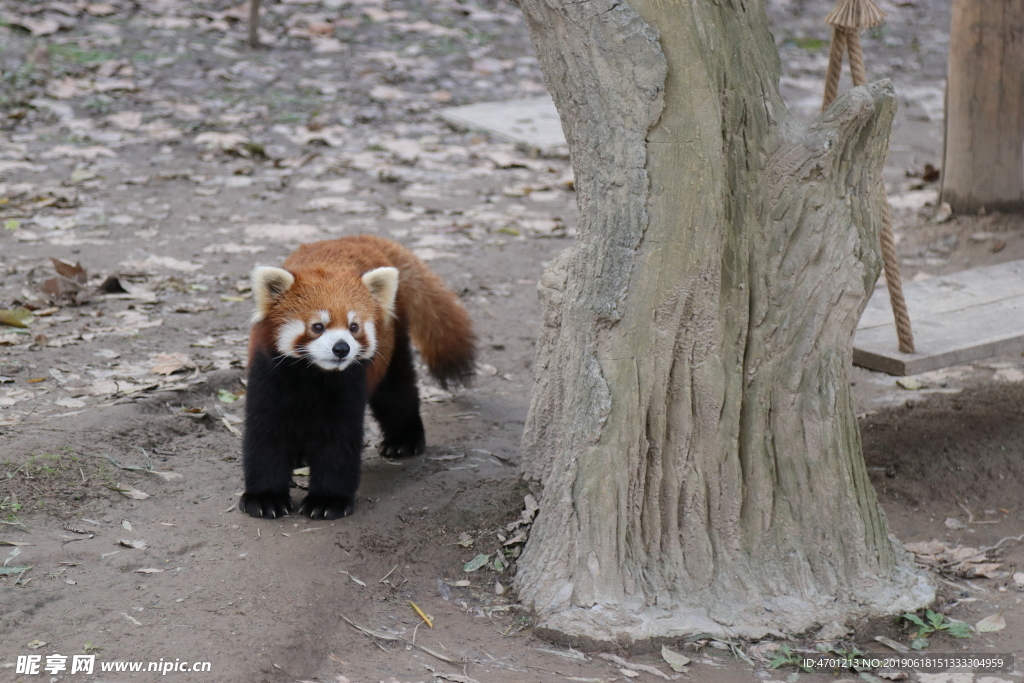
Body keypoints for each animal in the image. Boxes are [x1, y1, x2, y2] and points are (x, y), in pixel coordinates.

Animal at [239, 235, 475, 518]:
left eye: (354, 327)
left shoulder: (350, 382)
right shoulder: (268, 373)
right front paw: (265, 497)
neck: (313, 375)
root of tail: (356, 239)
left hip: (393, 346)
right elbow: (265, 433)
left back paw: (404, 441)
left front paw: (328, 500)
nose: (342, 348)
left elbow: (339, 439)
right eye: (317, 326)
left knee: (397, 393)